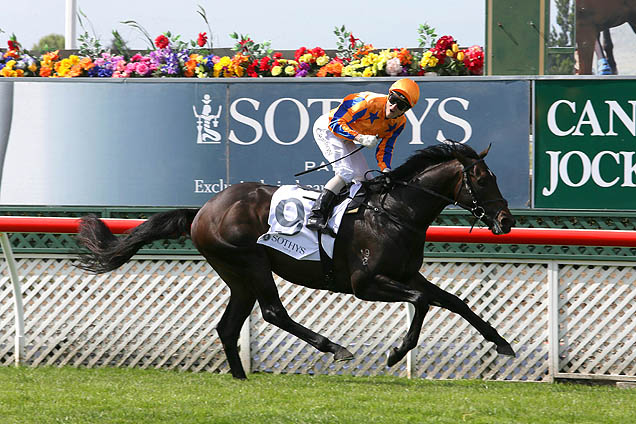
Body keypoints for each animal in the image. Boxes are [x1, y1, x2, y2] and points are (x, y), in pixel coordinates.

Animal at [77, 144, 516, 380]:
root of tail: (202, 210)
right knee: (273, 312)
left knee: (228, 326)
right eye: (482, 179)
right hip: (251, 262)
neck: (394, 212)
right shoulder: (366, 284)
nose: (506, 221)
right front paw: (396, 352)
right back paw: (334, 347)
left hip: (238, 276)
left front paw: (502, 342)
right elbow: (423, 303)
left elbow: (455, 301)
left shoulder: (408, 275)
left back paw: (241, 378)